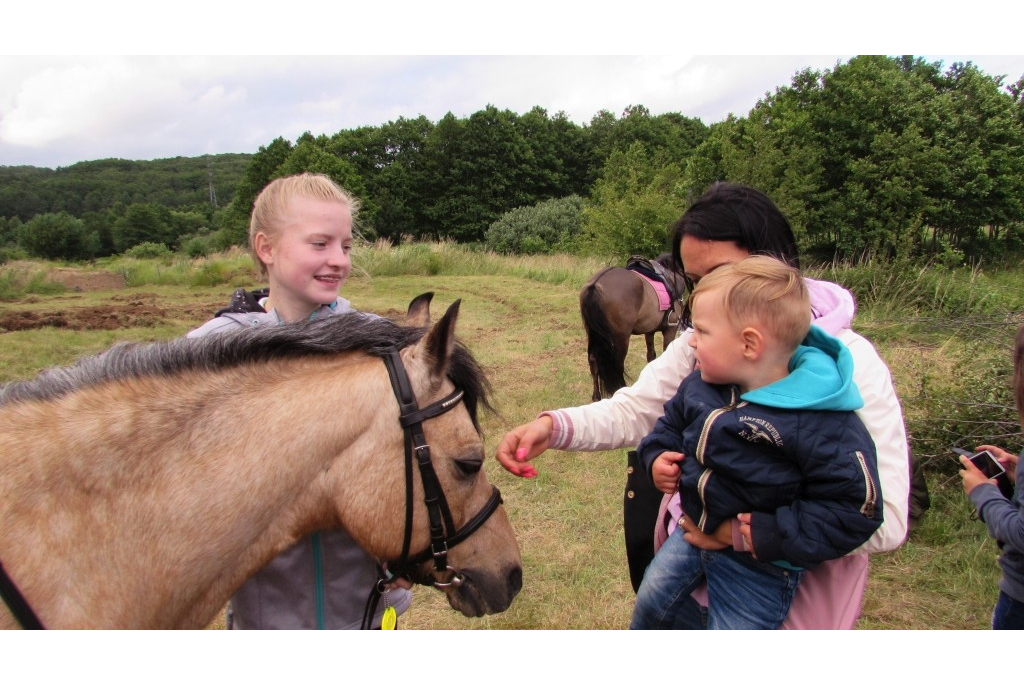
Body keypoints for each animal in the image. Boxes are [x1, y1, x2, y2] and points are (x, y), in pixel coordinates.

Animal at [577, 252, 688, 401]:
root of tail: (595, 284)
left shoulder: (649, 331)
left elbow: (651, 356)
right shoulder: (670, 329)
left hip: (594, 335)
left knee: (593, 361)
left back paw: (596, 397)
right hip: (621, 339)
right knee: (617, 365)